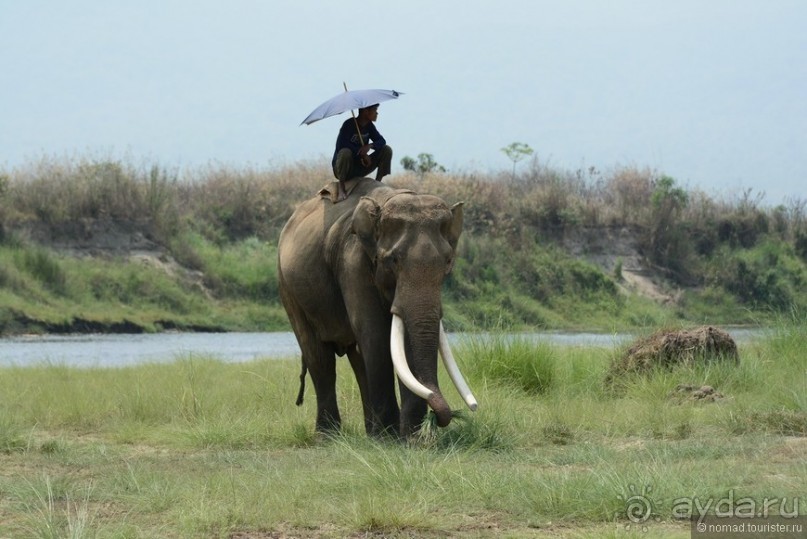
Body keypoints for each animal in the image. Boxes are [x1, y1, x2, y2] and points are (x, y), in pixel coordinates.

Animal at [280, 177, 476, 438]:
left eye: (448, 262)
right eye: (393, 260)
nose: (439, 418)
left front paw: (411, 438)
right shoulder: (353, 261)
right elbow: (374, 335)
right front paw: (393, 437)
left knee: (358, 360)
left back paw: (371, 432)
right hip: (288, 288)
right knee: (319, 357)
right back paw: (330, 436)